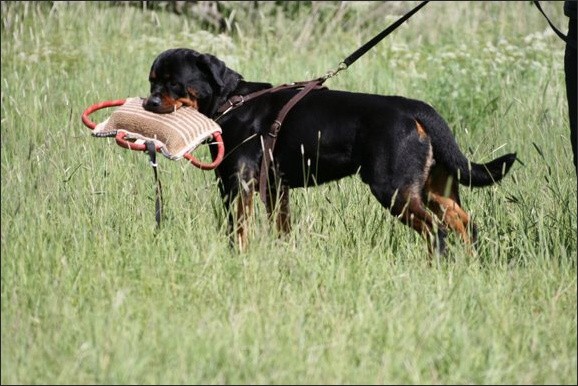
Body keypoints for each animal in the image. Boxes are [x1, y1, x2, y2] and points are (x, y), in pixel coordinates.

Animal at [143, 47, 512, 253]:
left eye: (174, 83)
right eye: (152, 81)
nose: (148, 103)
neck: (232, 101)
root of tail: (416, 109)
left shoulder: (237, 183)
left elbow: (238, 230)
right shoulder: (276, 189)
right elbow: (281, 230)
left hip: (394, 189)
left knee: (436, 231)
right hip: (438, 188)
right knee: (466, 226)